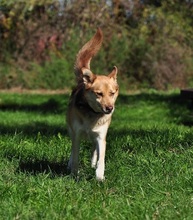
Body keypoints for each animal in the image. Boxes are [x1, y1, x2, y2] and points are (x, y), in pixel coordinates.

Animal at [66, 27, 118, 180]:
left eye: (112, 93)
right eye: (99, 94)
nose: (109, 108)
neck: (92, 114)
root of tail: (82, 81)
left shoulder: (101, 136)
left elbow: (101, 157)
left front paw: (99, 176)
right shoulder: (76, 134)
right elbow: (75, 155)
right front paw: (74, 174)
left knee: (95, 148)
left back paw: (93, 164)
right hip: (70, 130)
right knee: (73, 150)